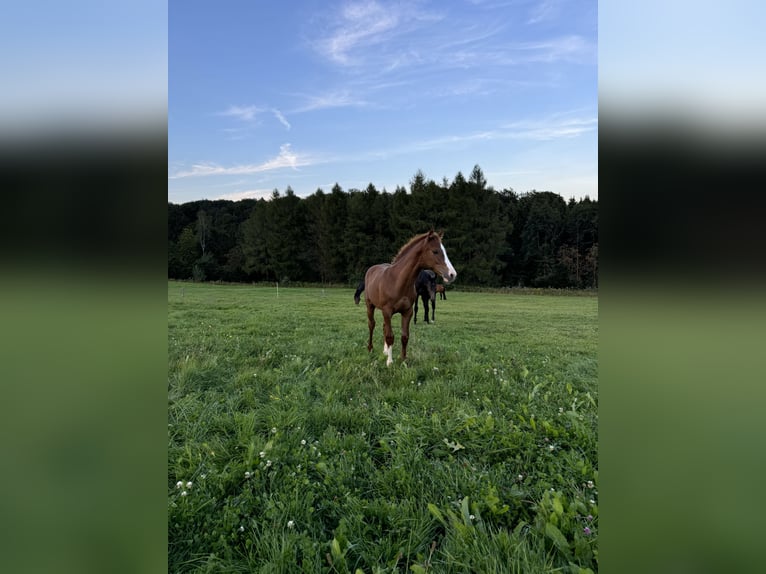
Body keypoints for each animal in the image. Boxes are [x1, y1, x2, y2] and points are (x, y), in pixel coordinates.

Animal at [354, 232, 456, 366]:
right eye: (435, 251)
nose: (452, 274)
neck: (398, 281)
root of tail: (371, 269)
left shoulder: (407, 312)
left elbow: (404, 336)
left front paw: (403, 360)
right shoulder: (387, 311)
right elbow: (390, 336)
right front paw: (390, 362)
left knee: (384, 326)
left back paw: (385, 351)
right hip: (370, 306)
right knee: (372, 325)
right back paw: (370, 349)